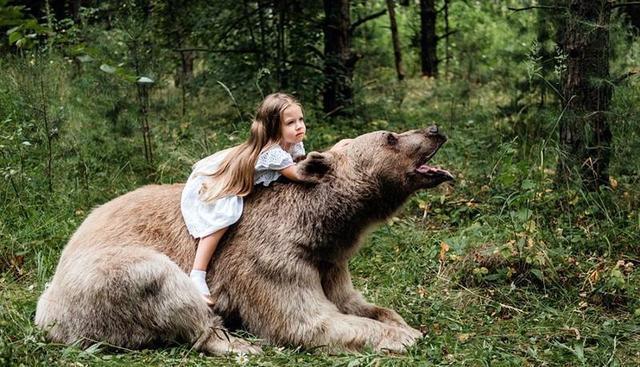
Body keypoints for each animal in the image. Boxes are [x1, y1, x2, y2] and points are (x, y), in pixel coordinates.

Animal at [35, 126, 452, 354]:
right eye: (391, 137)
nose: (434, 130)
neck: (318, 221)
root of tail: (47, 315)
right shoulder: (269, 255)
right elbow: (303, 319)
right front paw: (404, 336)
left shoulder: (329, 258)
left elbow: (353, 301)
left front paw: (401, 322)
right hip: (102, 278)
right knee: (163, 283)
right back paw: (238, 343)